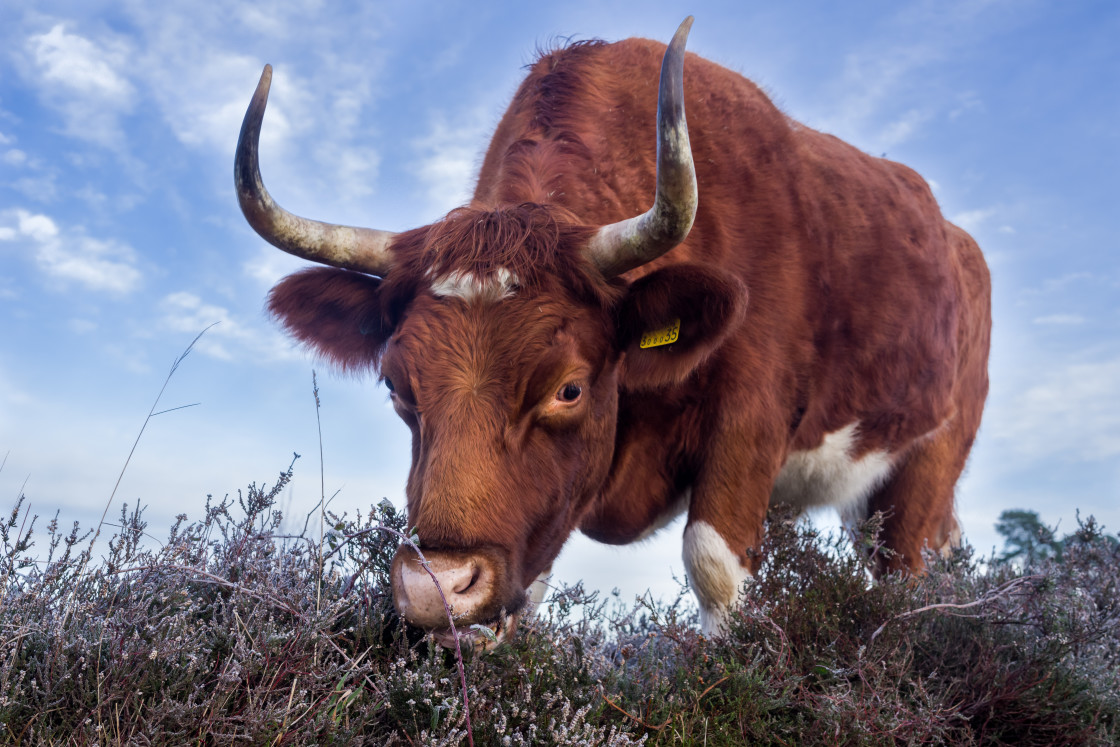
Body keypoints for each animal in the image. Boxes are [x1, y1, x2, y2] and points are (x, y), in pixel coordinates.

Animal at [234, 16, 990, 645]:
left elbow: (715, 565)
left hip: (924, 467)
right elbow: (531, 585)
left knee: (904, 570)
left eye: (568, 388)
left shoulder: (750, 423)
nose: (435, 588)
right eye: (395, 386)